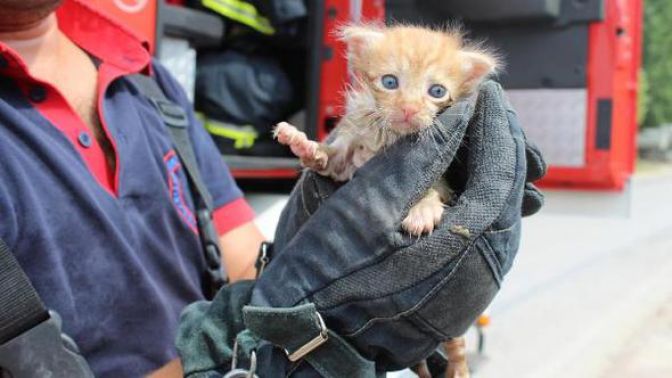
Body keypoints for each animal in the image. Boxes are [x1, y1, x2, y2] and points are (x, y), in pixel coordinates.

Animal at [274, 24, 498, 378]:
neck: (388, 139)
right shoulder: (346, 161)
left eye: (437, 91)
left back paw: (459, 369)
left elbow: (432, 187)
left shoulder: (441, 172)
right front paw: (303, 144)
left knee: (457, 346)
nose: (408, 109)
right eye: (390, 82)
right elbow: (328, 159)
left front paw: (422, 210)